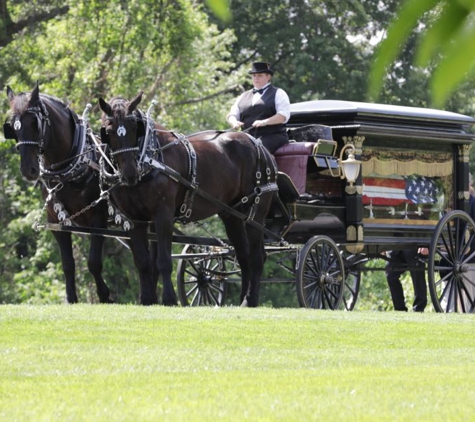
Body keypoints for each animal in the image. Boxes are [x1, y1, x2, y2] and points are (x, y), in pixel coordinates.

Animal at [4, 83, 113, 304]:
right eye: (12, 127)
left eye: (35, 124)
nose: (28, 170)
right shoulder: (55, 220)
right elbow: (67, 263)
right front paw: (70, 298)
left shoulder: (99, 216)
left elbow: (94, 262)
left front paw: (104, 295)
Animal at [100, 93, 278, 306]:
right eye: (108, 130)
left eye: (134, 127)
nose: (129, 175)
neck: (149, 157)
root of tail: (257, 144)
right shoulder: (133, 219)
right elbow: (142, 262)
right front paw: (147, 300)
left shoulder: (163, 215)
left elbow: (163, 261)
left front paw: (169, 299)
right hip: (232, 214)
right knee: (243, 255)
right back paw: (243, 299)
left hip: (256, 211)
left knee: (256, 257)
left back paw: (250, 300)